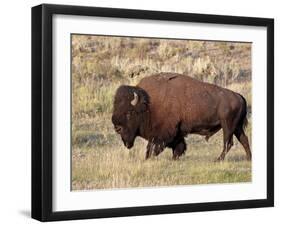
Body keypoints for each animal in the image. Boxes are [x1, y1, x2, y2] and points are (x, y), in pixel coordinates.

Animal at [110, 72, 250, 161]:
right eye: (115, 108)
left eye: (129, 113)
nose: (117, 127)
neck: (148, 104)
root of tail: (239, 96)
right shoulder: (177, 132)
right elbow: (179, 146)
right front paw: (174, 158)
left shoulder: (163, 133)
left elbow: (154, 147)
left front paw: (148, 158)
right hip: (236, 127)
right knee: (244, 139)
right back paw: (249, 158)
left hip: (228, 125)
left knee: (228, 143)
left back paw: (218, 160)